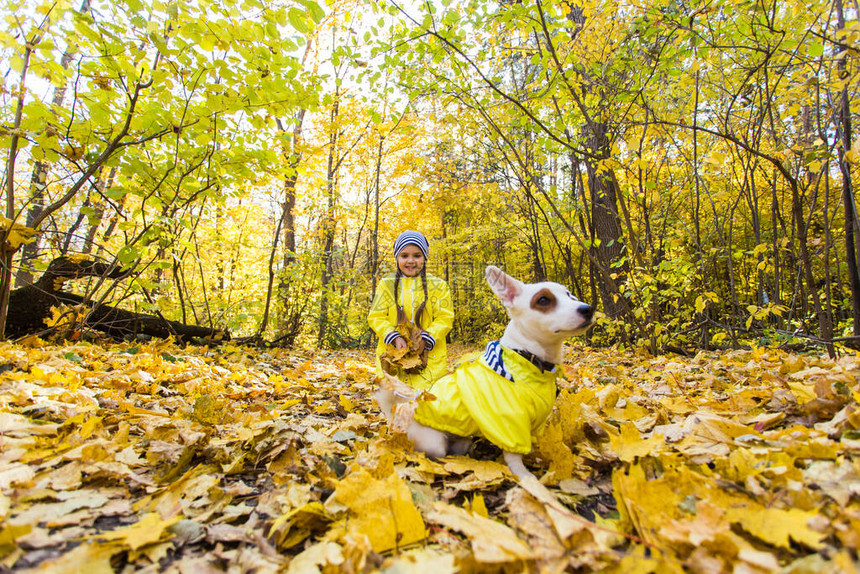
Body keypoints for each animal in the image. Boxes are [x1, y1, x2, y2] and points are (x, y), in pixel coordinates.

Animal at [372, 266, 596, 482]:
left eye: (570, 295)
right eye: (543, 300)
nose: (588, 309)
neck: (527, 358)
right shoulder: (511, 424)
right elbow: (515, 456)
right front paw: (526, 478)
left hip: (461, 439)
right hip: (433, 443)